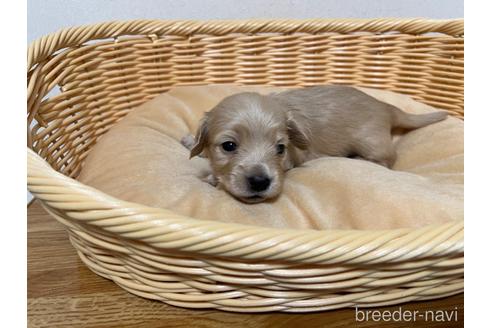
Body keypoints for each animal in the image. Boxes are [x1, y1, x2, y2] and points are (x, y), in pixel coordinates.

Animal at [183, 85, 448, 202]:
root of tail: (386, 107)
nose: (260, 181)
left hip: (371, 141)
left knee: (387, 159)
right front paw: (191, 142)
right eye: (228, 146)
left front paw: (213, 179)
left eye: (280, 148)